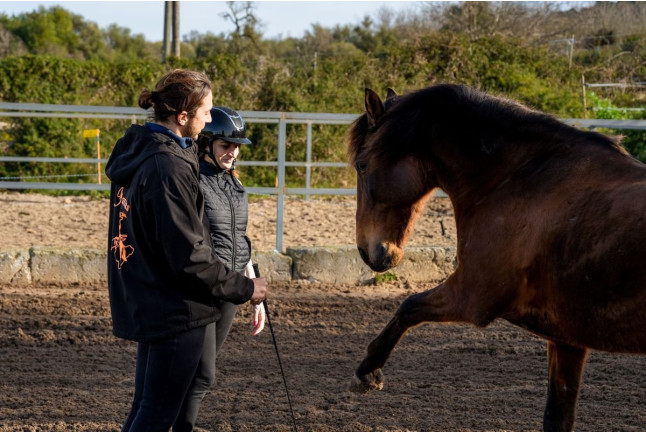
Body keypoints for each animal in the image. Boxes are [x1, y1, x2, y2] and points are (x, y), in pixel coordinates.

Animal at [346, 85, 646, 432]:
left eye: (362, 165)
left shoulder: (472, 297)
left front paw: (367, 370)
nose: (368, 252)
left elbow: (408, 306)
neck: (515, 179)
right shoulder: (566, 338)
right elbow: (556, 418)